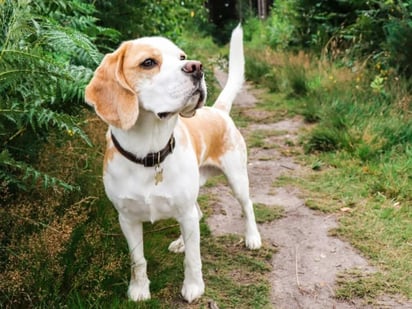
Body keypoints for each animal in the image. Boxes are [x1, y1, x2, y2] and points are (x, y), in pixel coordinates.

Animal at [84, 24, 260, 304]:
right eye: (148, 62)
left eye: (181, 57)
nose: (196, 67)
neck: (150, 154)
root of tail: (218, 110)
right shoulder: (127, 219)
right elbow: (138, 260)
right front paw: (139, 290)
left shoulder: (184, 212)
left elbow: (193, 259)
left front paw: (194, 287)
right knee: (198, 215)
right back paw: (181, 242)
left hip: (236, 178)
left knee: (247, 206)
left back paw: (252, 237)